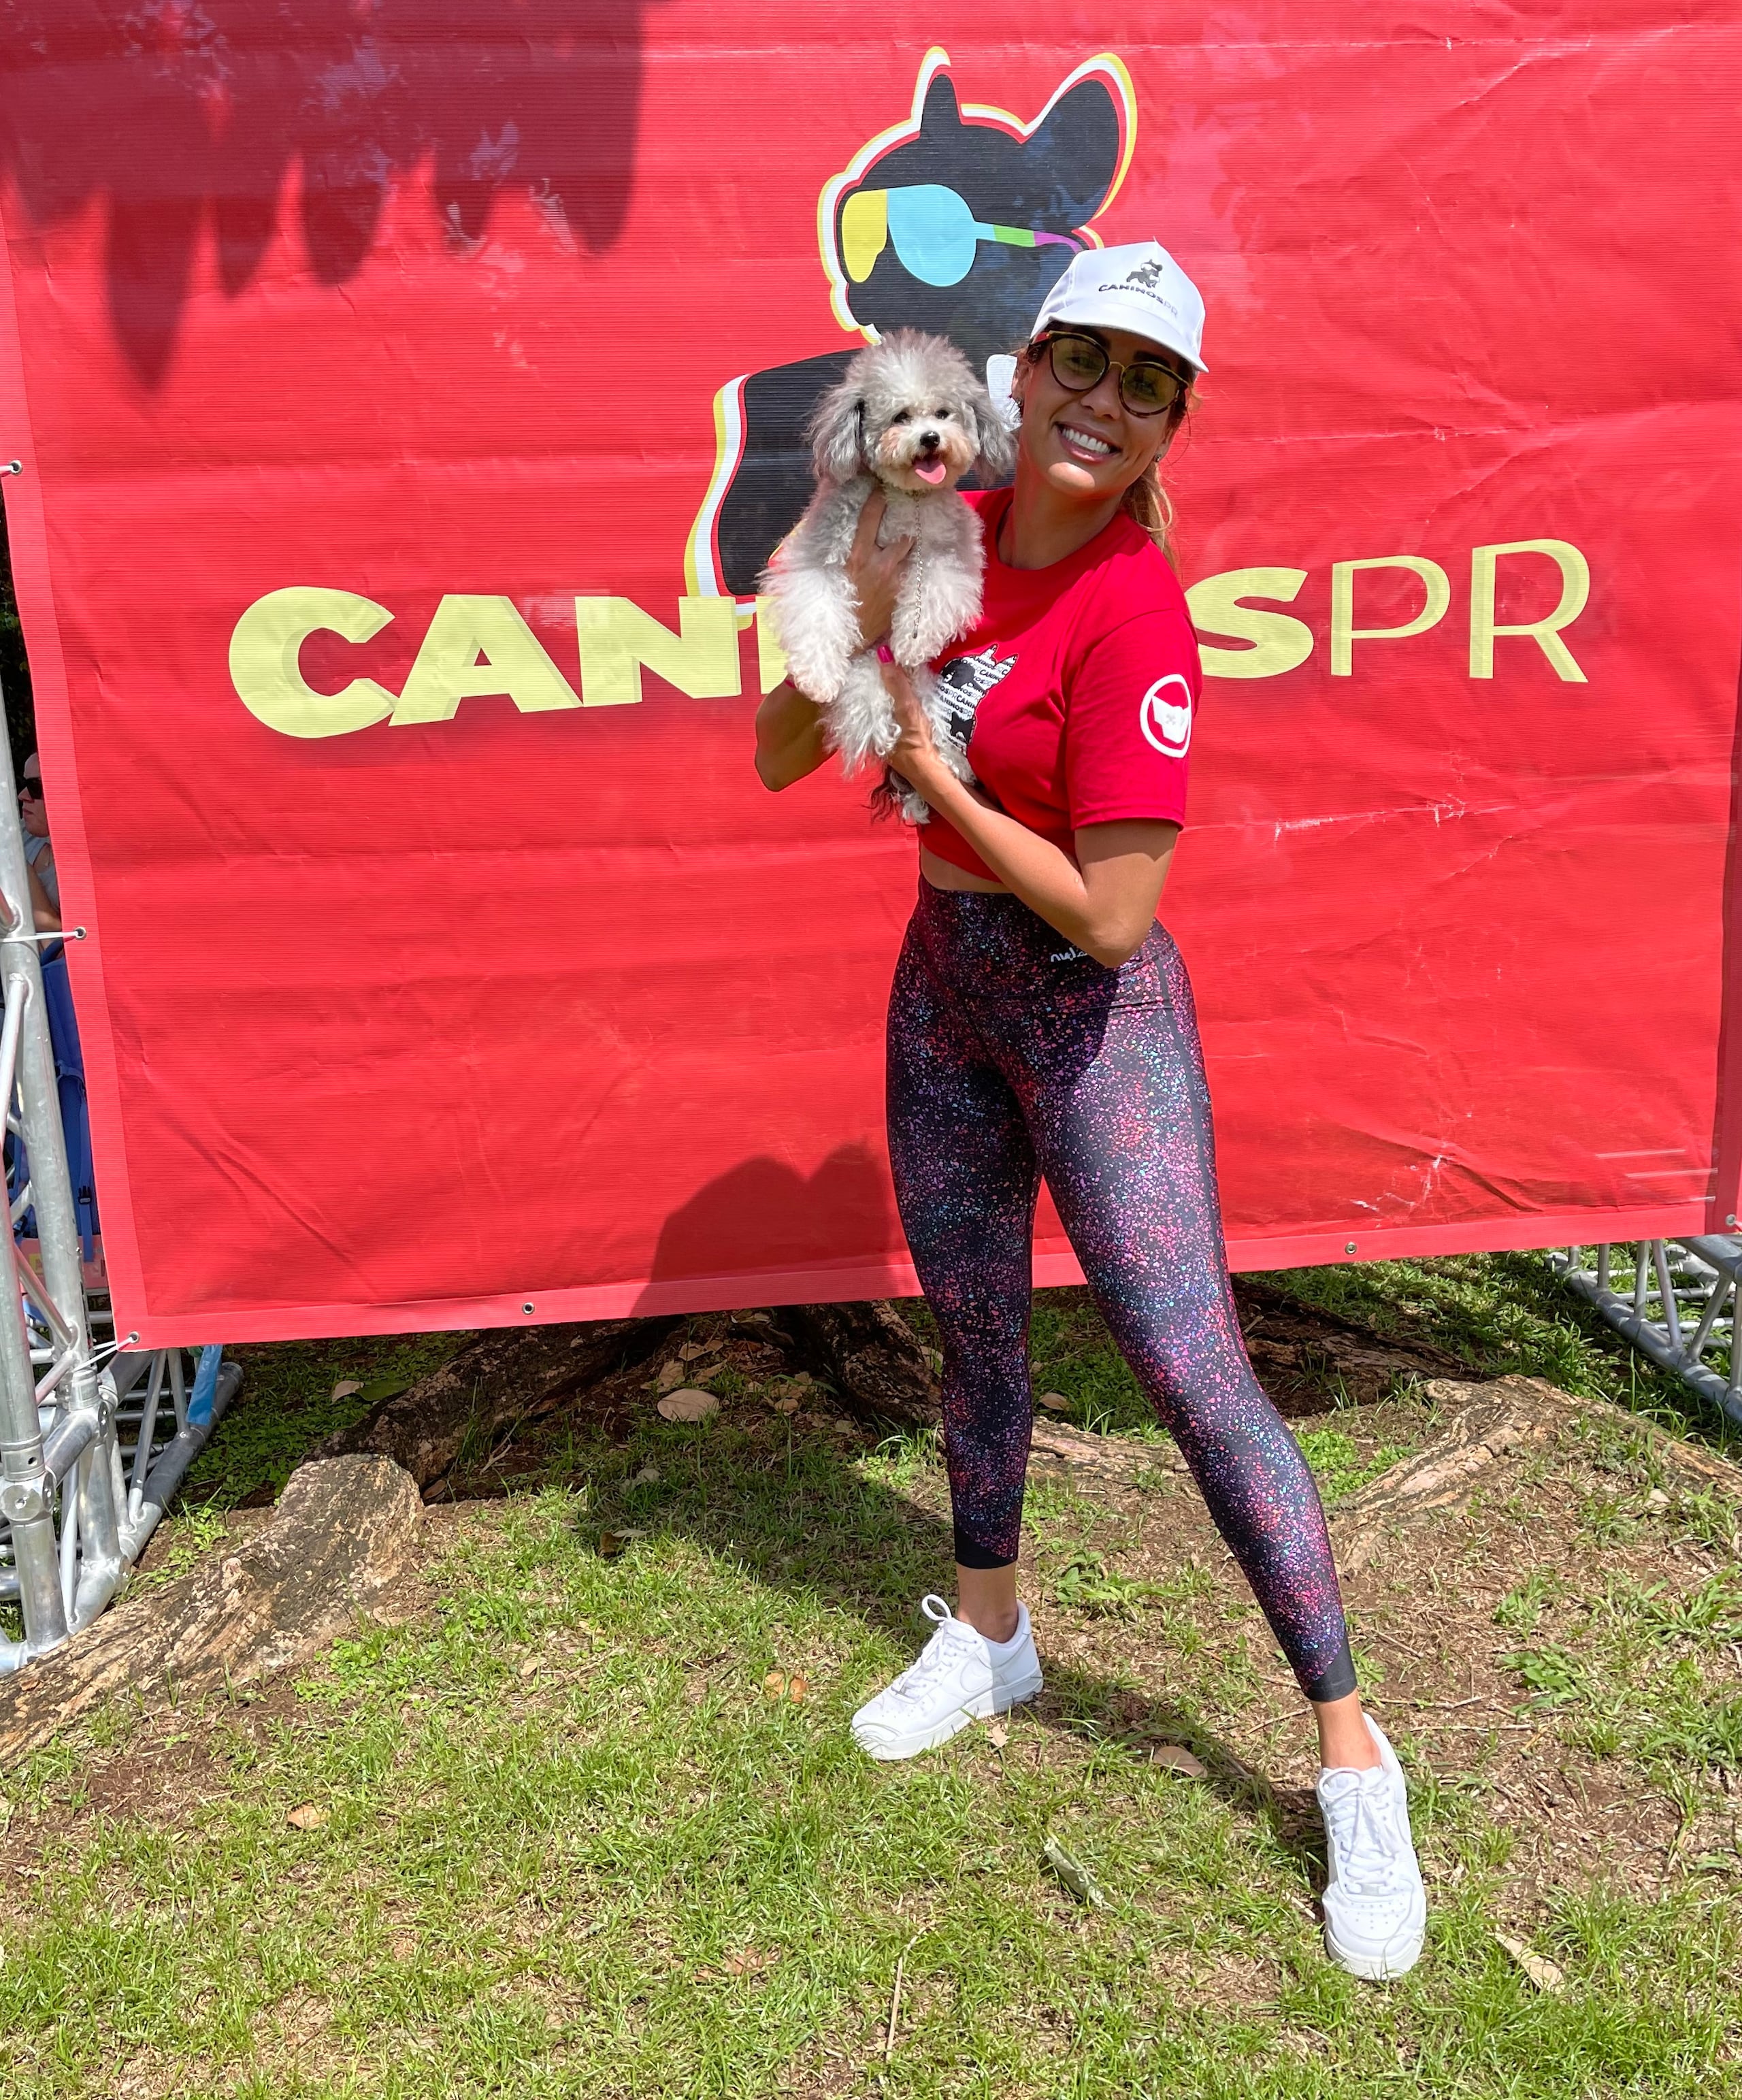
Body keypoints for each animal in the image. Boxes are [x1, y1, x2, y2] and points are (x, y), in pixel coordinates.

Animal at [763, 327, 1024, 819]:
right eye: (900, 416)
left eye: (943, 412)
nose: (930, 438)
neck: (908, 498)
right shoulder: (820, 554)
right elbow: (818, 611)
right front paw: (818, 676)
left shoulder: (951, 553)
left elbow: (934, 593)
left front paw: (912, 639)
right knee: (867, 687)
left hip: (918, 681)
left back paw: (952, 761)